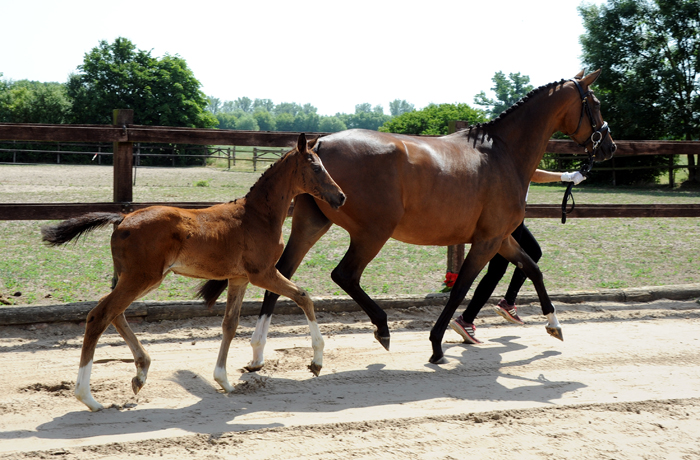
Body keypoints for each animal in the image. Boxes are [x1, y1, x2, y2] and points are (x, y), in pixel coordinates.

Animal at [40, 132, 344, 410]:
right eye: (317, 167)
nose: (340, 197)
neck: (258, 216)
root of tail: (122, 218)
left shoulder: (239, 278)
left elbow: (230, 324)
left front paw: (223, 380)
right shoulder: (262, 273)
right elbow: (303, 296)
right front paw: (316, 361)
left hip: (134, 278)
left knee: (116, 314)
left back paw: (140, 373)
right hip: (142, 278)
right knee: (99, 316)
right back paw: (88, 397)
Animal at [200, 70, 616, 368]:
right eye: (595, 103)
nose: (609, 146)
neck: (503, 154)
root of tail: (320, 144)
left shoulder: (501, 237)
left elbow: (533, 267)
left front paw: (554, 325)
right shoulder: (486, 241)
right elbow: (463, 287)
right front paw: (437, 345)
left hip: (312, 224)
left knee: (283, 274)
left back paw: (258, 352)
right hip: (373, 232)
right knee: (344, 275)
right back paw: (381, 328)